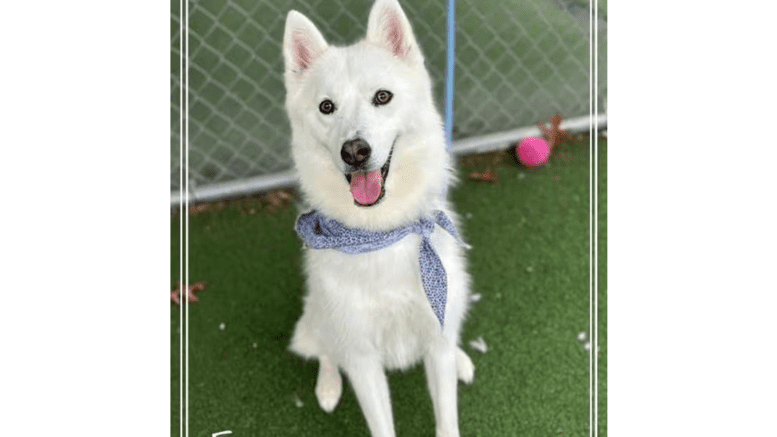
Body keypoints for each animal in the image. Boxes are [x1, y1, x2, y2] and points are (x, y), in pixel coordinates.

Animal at [280, 1, 470, 434]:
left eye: (382, 97)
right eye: (326, 107)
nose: (354, 151)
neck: (382, 233)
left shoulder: (435, 341)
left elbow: (447, 415)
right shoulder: (362, 359)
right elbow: (380, 421)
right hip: (316, 323)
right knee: (326, 351)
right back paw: (328, 386)